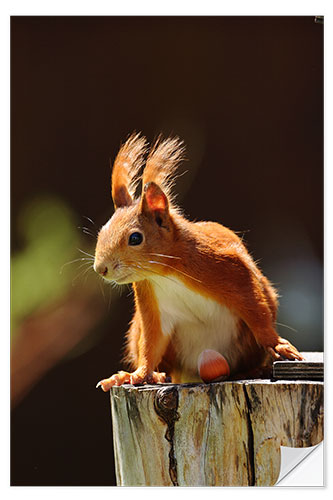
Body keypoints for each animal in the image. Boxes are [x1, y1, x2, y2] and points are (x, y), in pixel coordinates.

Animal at [94, 133, 304, 390]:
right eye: (102, 231)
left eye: (135, 238)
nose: (101, 268)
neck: (166, 273)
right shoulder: (152, 304)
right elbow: (152, 342)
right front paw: (141, 374)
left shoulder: (232, 270)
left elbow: (257, 313)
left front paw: (278, 345)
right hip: (141, 333)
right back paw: (145, 376)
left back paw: (256, 369)